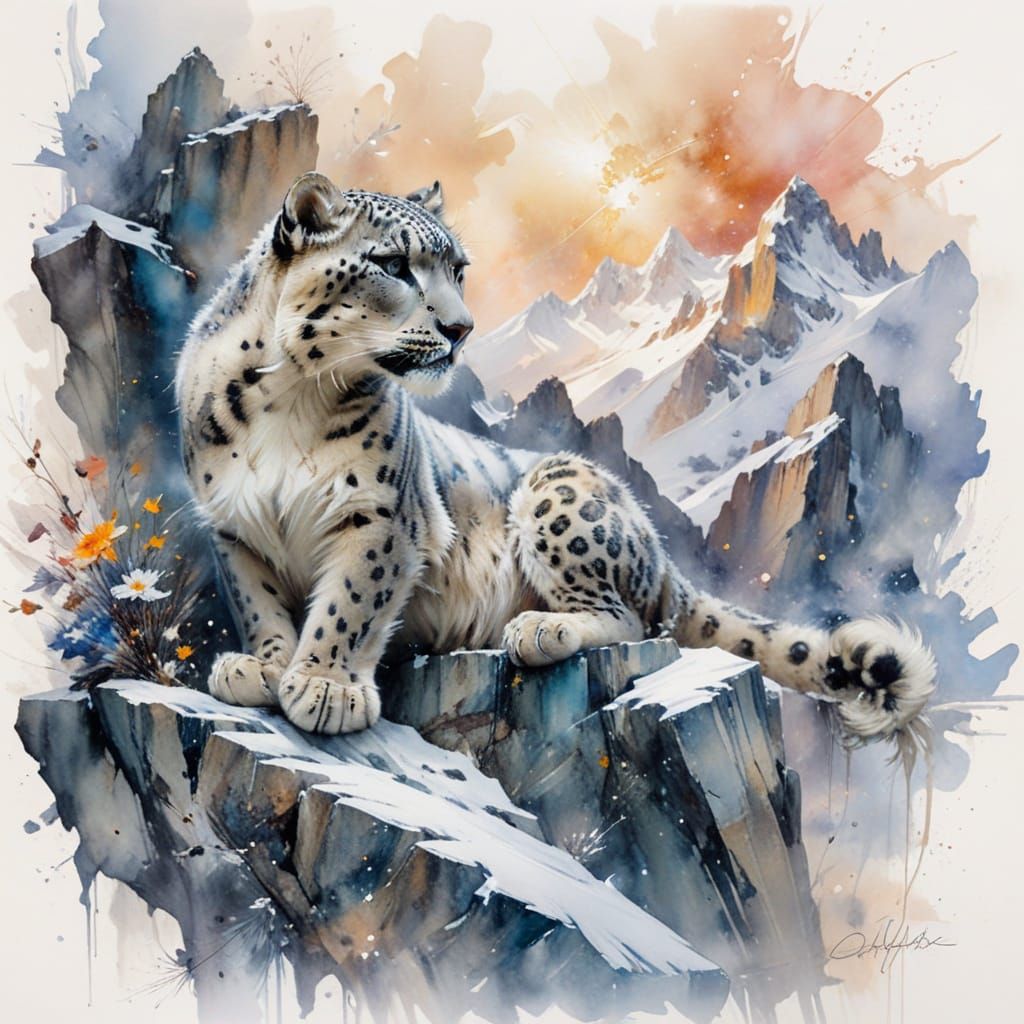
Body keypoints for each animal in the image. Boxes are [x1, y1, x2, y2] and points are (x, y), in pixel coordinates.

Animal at [175, 172, 937, 744]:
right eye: (392, 265)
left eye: (457, 269)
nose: (461, 328)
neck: (291, 398)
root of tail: (660, 553)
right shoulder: (234, 526)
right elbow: (260, 603)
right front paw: (265, 668)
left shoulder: (383, 514)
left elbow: (352, 600)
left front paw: (325, 687)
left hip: (558, 493)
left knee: (629, 617)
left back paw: (543, 627)